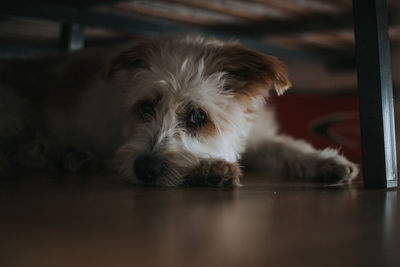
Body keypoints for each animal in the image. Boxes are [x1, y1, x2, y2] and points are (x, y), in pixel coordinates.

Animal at [0, 35, 358, 187]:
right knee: (15, 147)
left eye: (198, 116)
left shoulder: (254, 136)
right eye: (146, 106)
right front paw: (212, 168)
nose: (144, 169)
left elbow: (286, 148)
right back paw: (61, 153)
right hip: (13, 108)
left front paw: (323, 161)